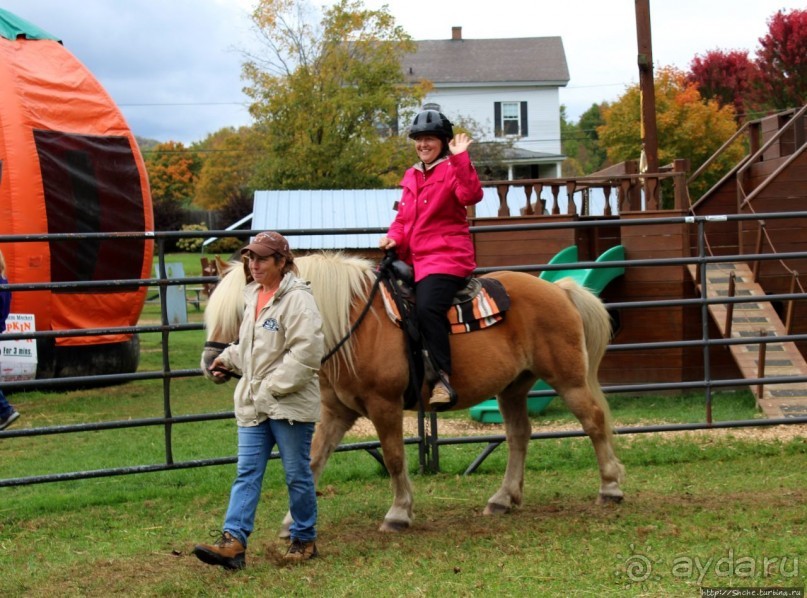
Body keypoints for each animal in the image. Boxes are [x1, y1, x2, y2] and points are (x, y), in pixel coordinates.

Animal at [200, 252, 624, 536]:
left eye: (244, 311)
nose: (211, 364)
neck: (353, 323)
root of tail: (558, 289)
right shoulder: (336, 412)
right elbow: (313, 460)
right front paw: (291, 521)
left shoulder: (384, 406)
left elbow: (393, 457)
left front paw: (399, 513)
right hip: (512, 388)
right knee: (519, 435)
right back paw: (503, 499)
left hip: (568, 379)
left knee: (593, 421)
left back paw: (610, 487)